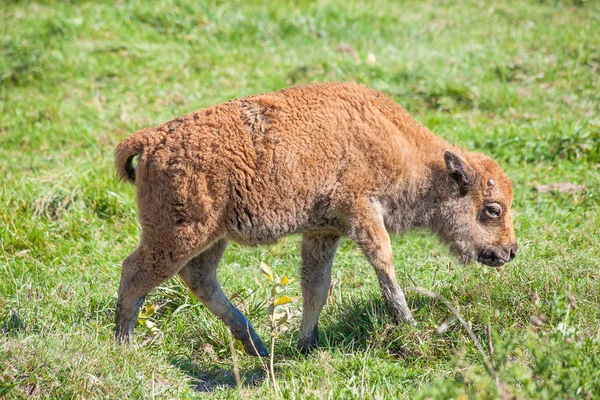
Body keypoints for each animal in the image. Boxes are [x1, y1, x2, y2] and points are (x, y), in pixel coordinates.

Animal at [115, 83, 516, 354]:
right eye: (493, 209)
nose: (509, 251)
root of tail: (150, 139)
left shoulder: (323, 232)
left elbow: (316, 286)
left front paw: (306, 343)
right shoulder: (361, 212)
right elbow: (383, 262)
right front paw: (408, 323)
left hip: (214, 238)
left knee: (200, 279)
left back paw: (255, 345)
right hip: (178, 236)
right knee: (135, 273)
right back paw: (125, 345)